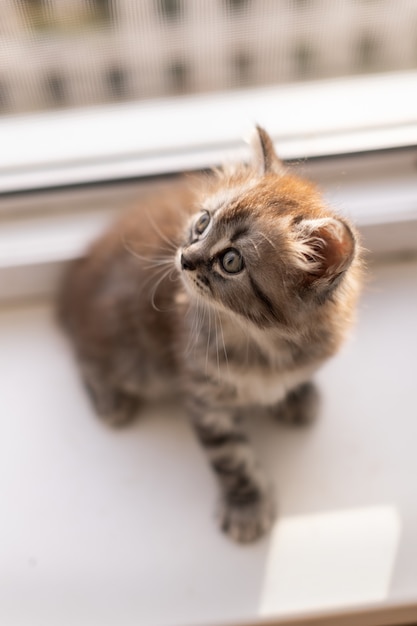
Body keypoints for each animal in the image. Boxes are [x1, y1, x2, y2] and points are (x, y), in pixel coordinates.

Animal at [58, 125, 360, 540]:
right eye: (202, 223)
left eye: (231, 261)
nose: (185, 258)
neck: (260, 340)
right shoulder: (202, 391)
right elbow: (230, 457)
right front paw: (246, 505)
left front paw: (296, 394)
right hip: (135, 355)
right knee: (85, 354)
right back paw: (109, 398)